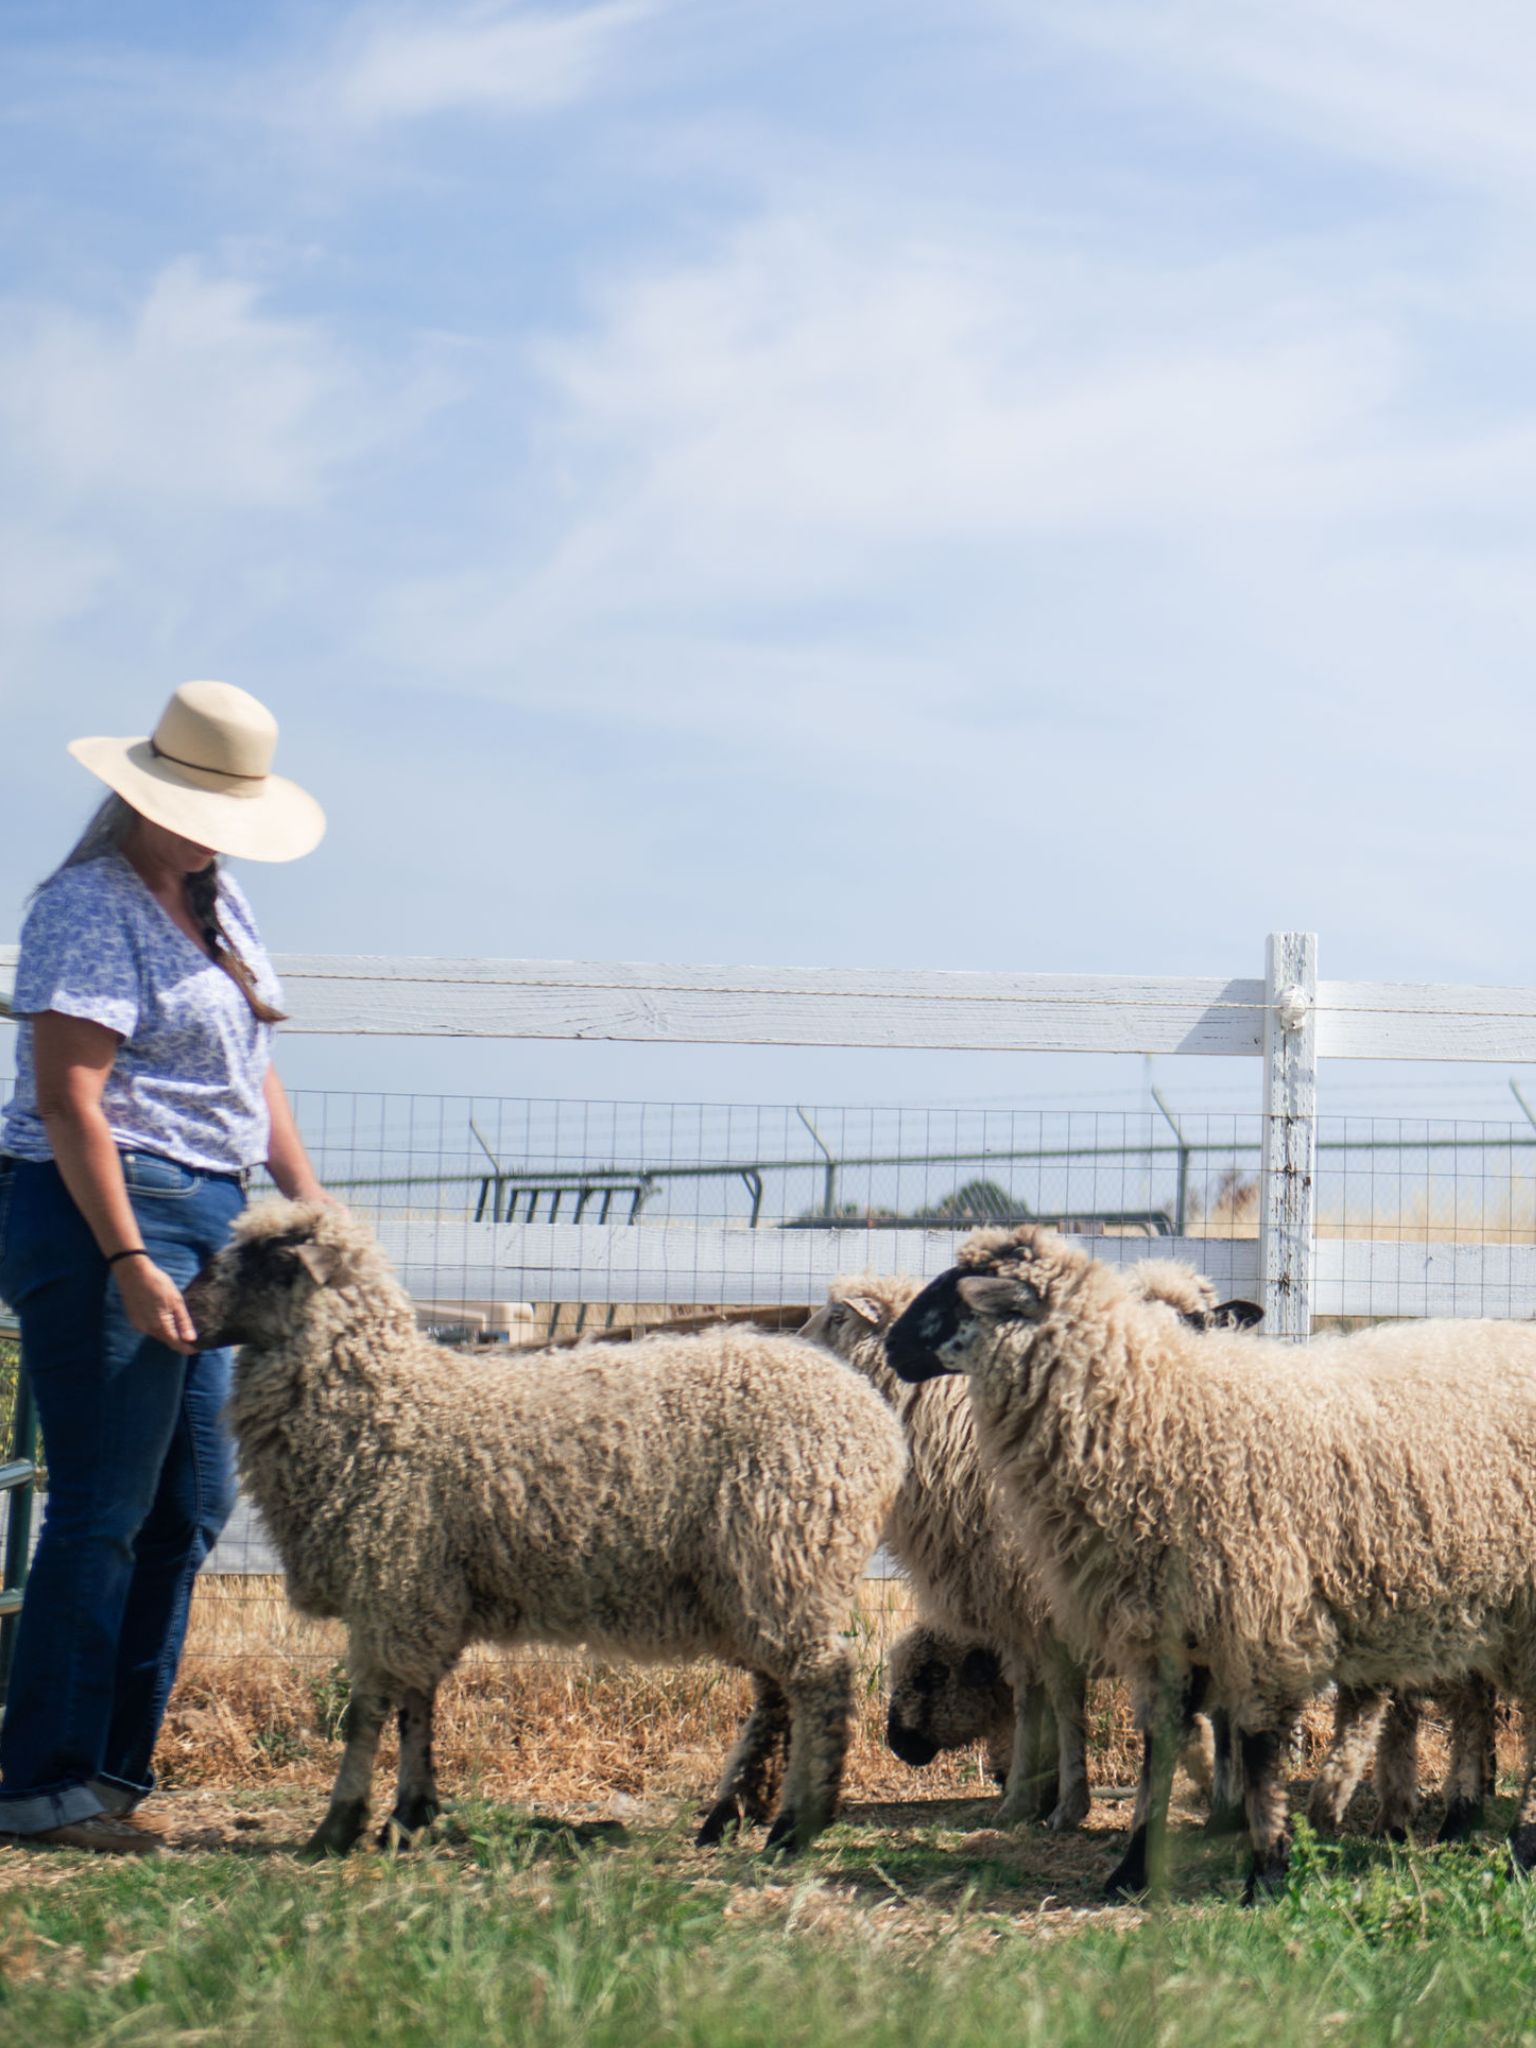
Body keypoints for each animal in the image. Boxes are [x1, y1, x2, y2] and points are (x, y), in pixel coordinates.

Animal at [185, 1196, 909, 1859]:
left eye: (270, 1256)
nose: (184, 1312)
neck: (386, 1400)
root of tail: (872, 1419)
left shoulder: (390, 1578)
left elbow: (366, 1713)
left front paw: (338, 1826)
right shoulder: (420, 1590)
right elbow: (417, 1704)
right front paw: (408, 1815)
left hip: (781, 1554)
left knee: (821, 1681)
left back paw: (798, 1825)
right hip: (757, 1576)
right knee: (780, 1688)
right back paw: (737, 1815)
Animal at [798, 1253, 1253, 1835]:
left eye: (837, 1317)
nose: (794, 1343)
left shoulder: (1046, 1605)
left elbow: (1061, 1697)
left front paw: (1066, 1803)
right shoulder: (1016, 1608)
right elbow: (1030, 1699)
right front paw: (1026, 1797)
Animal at [884, 1212, 1536, 1900]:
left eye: (956, 1294)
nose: (894, 1348)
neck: (1164, 1411)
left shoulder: (1261, 1618)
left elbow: (1258, 1748)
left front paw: (1267, 1869)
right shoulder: (1160, 1634)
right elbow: (1160, 1745)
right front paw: (1133, 1868)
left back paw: (1518, 1847)